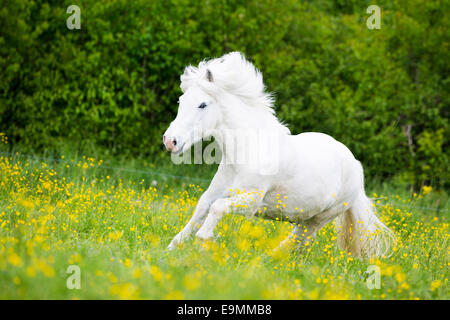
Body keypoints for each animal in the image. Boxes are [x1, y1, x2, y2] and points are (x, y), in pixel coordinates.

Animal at [163, 51, 394, 258]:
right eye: (180, 101)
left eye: (202, 104)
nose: (169, 141)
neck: (247, 152)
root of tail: (355, 165)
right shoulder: (217, 191)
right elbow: (201, 208)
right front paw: (172, 248)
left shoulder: (250, 201)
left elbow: (217, 209)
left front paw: (203, 242)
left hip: (319, 218)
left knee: (299, 239)